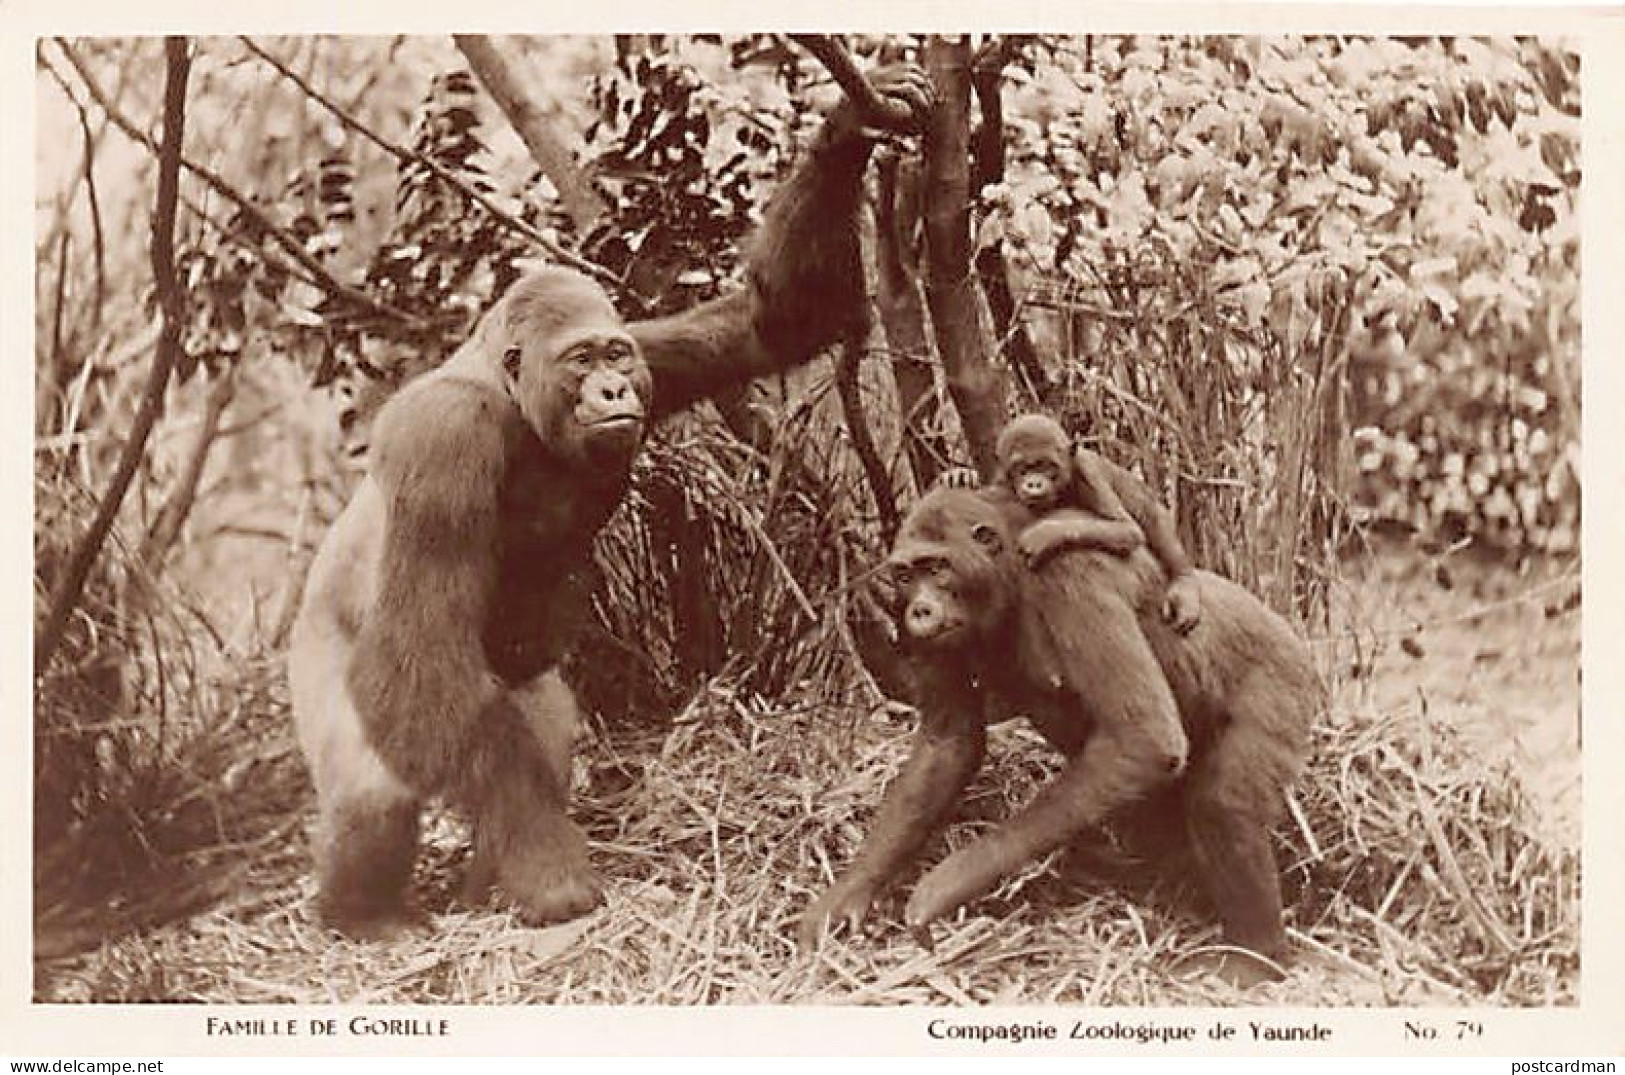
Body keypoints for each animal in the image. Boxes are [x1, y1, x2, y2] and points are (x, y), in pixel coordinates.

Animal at [286, 67, 936, 941]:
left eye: (613, 357)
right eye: (579, 361)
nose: (612, 392)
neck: (510, 395)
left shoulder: (655, 353)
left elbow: (774, 323)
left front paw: (844, 134)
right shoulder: (441, 438)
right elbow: (415, 653)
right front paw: (549, 870)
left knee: (531, 733)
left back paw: (473, 883)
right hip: (322, 680)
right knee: (375, 785)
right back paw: (357, 908)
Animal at [799, 487, 1319, 974]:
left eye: (938, 568)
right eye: (906, 575)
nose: (918, 612)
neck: (1010, 572)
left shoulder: (1071, 573)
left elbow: (1143, 737)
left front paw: (952, 879)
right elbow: (946, 744)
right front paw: (848, 892)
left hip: (1284, 676)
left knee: (1223, 801)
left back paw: (1255, 960)